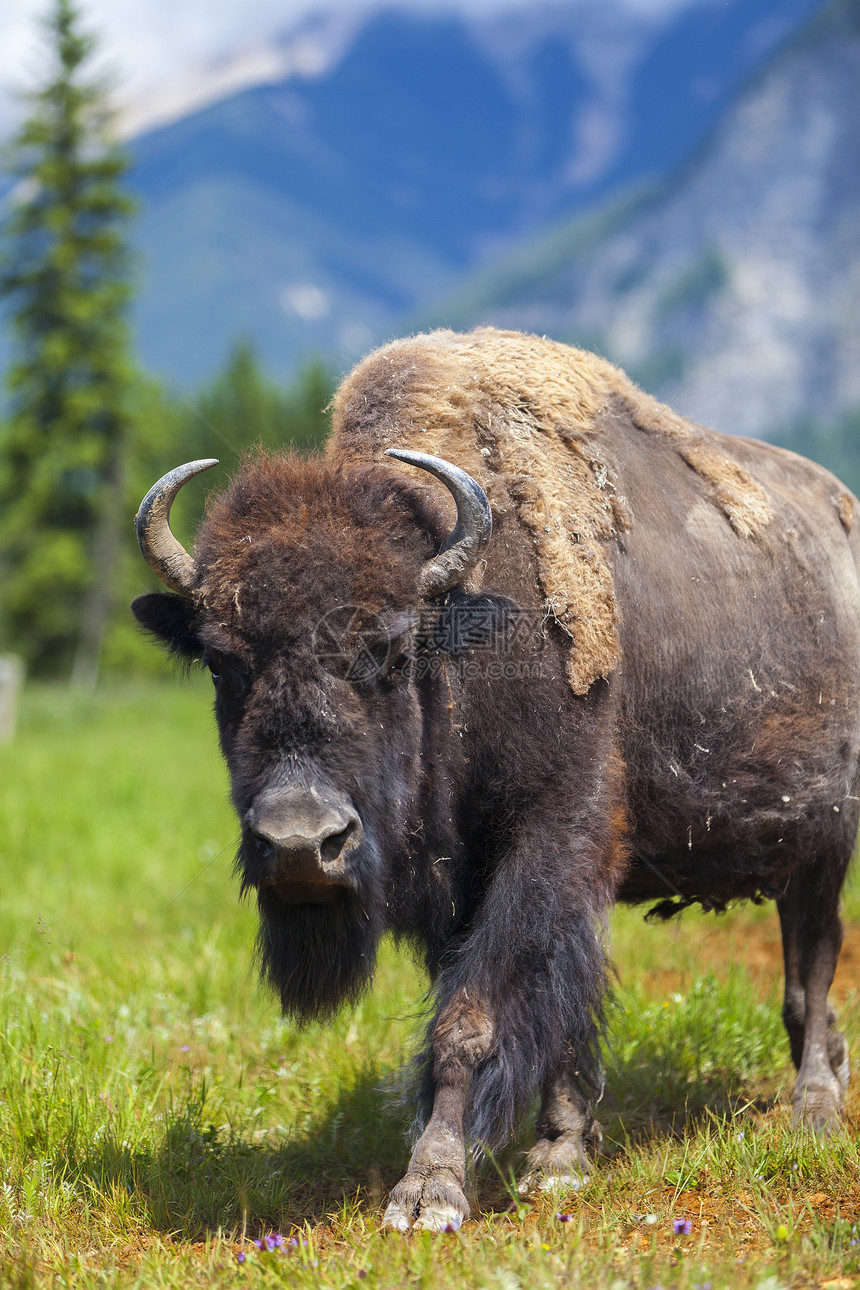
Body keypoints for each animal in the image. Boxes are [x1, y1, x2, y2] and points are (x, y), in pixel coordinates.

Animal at [131, 330, 856, 1228]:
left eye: (392, 651)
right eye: (223, 663)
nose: (302, 844)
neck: (463, 636)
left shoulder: (547, 840)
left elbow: (470, 1021)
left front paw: (430, 1191)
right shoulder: (474, 884)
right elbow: (551, 1010)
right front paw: (559, 1156)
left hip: (828, 840)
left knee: (813, 964)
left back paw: (815, 1112)